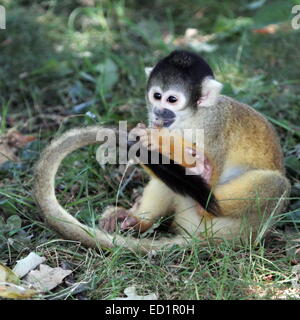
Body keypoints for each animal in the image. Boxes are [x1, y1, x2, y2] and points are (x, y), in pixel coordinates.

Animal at [34, 50, 290, 252]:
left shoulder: (214, 127)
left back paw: (203, 185)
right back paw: (136, 221)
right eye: (157, 96)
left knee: (273, 185)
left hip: (247, 219)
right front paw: (146, 139)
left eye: (172, 100)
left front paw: (158, 141)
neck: (190, 118)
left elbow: (214, 172)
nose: (158, 111)